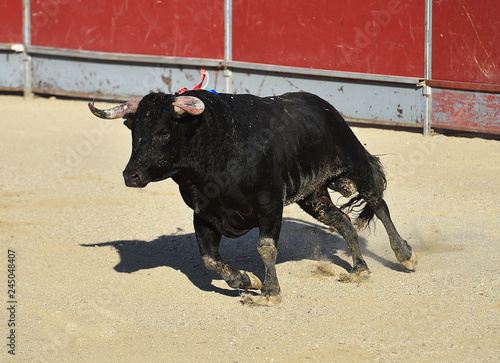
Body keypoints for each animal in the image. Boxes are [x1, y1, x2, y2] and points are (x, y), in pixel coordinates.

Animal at [88, 91, 416, 308]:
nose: (130, 175)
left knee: (378, 203)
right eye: (134, 132)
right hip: (313, 195)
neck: (216, 147)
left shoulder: (270, 206)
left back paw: (404, 255)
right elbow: (210, 259)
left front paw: (269, 293)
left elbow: (266, 248)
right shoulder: (204, 215)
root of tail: (325, 107)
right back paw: (359, 269)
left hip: (353, 162)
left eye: (163, 132)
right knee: (343, 221)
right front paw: (248, 281)